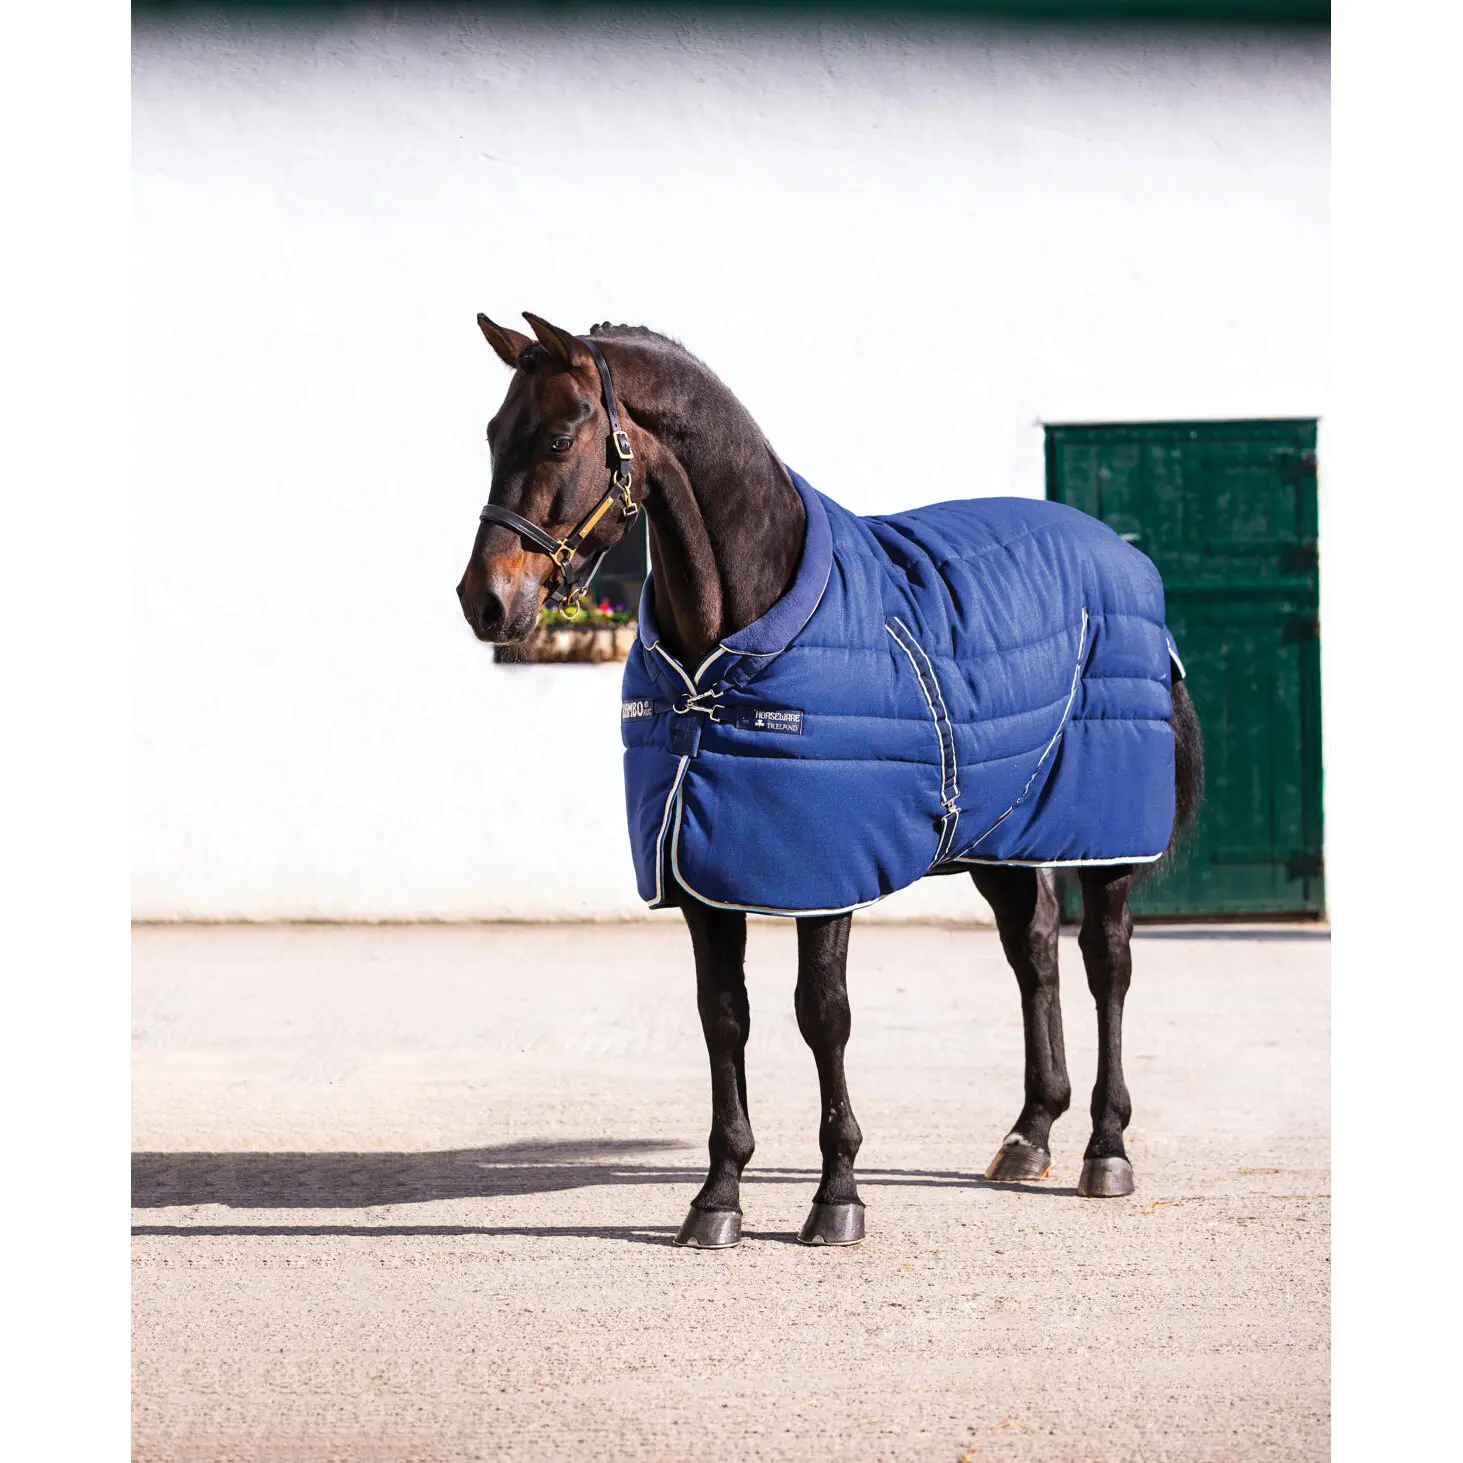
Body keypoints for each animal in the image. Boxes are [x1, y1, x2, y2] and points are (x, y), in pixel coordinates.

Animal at [456, 313, 1203, 1249]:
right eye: (491, 433)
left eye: (559, 437)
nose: (484, 601)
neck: (734, 640)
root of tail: (1126, 563)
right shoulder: (702, 872)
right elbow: (722, 1015)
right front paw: (717, 1198)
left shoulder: (824, 870)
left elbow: (822, 1013)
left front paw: (837, 1194)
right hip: (1003, 834)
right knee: (1032, 950)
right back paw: (1029, 1134)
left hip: (1102, 840)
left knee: (1106, 963)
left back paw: (1105, 1148)